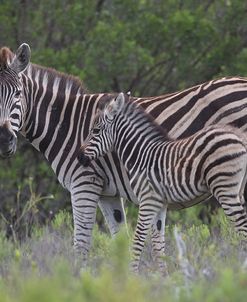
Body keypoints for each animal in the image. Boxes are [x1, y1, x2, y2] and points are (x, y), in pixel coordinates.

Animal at [0, 43, 247, 260]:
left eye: (18, 94)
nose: (4, 139)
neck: (65, 123)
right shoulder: (108, 193)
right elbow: (121, 240)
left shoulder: (84, 183)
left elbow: (81, 244)